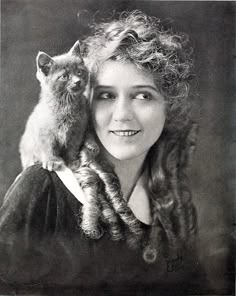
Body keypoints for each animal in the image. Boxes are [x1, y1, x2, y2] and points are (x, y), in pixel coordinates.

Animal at [19, 41, 89, 171]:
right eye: (64, 76)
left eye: (79, 72)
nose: (77, 81)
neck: (66, 105)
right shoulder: (45, 133)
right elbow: (48, 147)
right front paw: (52, 161)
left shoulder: (78, 131)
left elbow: (72, 147)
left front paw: (72, 161)